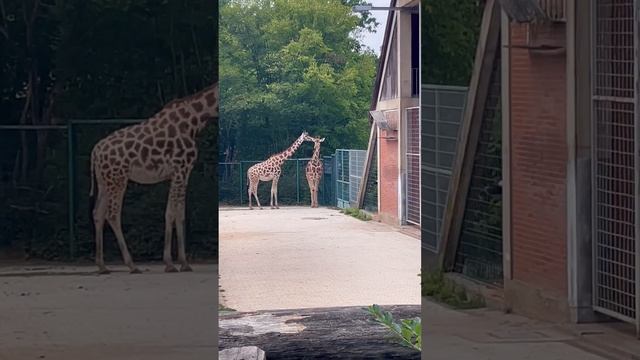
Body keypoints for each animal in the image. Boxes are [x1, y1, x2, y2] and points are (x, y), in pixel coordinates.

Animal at [89, 82, 220, 272]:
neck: (195, 120)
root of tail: (95, 152)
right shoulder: (181, 169)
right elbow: (171, 213)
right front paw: (171, 263)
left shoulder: (181, 172)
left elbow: (179, 213)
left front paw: (183, 263)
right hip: (118, 179)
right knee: (112, 214)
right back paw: (131, 265)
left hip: (105, 181)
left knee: (97, 213)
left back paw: (102, 266)